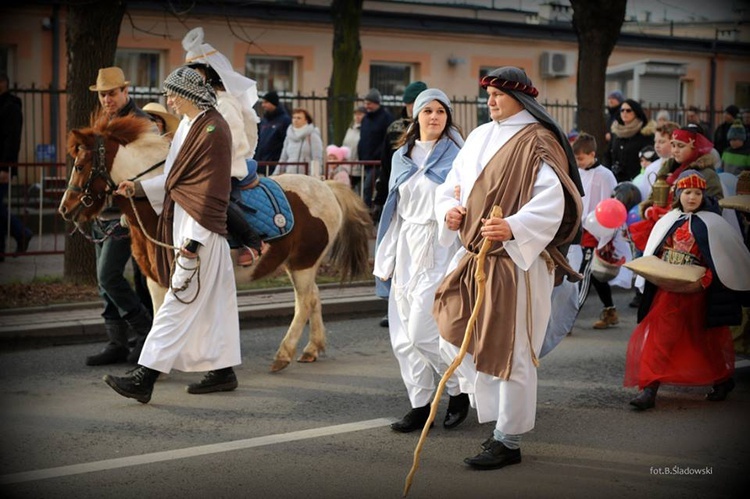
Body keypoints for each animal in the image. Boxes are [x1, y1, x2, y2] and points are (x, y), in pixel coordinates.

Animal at [57, 116, 374, 372]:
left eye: (80, 165)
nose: (65, 209)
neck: (157, 205)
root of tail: (325, 186)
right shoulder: (155, 277)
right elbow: (160, 315)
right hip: (300, 263)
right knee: (315, 297)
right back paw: (311, 349)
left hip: (303, 263)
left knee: (305, 302)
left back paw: (284, 354)